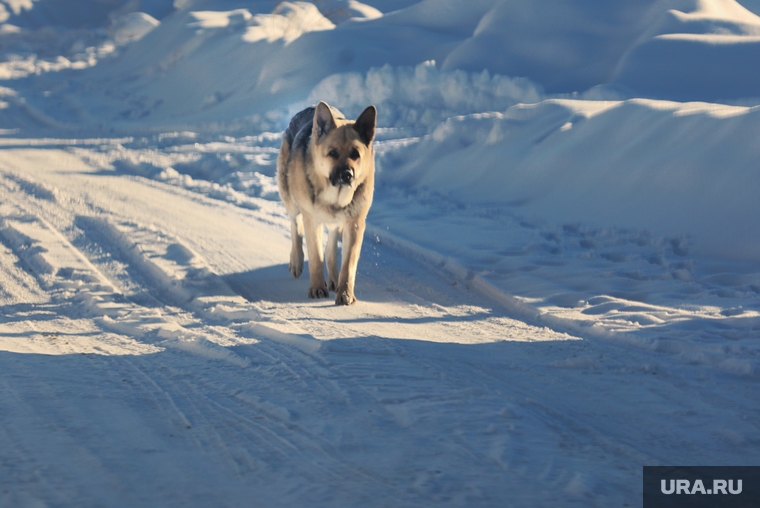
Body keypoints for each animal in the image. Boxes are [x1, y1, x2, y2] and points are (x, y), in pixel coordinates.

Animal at [278, 101, 376, 304]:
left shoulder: (354, 224)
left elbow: (348, 263)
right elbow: (316, 257)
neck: (335, 197)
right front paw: (317, 288)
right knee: (295, 225)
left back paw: (333, 279)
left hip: (338, 222)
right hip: (290, 199)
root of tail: (310, 107)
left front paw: (345, 293)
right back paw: (296, 261)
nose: (347, 175)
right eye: (332, 153)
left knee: (331, 242)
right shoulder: (312, 220)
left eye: (355, 154)